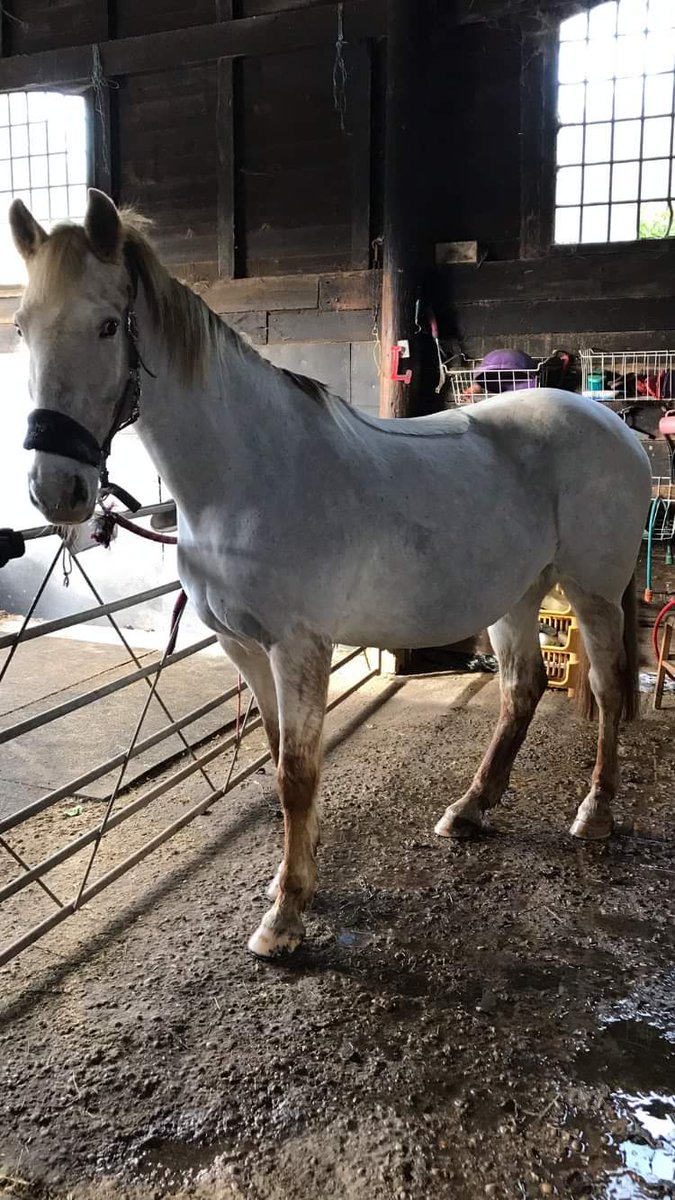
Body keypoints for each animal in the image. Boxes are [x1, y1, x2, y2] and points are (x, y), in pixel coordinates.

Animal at [9, 189, 652, 959]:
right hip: (517, 593)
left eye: (108, 325)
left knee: (608, 691)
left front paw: (285, 918)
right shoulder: (242, 646)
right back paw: (470, 809)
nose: (58, 491)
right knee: (522, 688)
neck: (247, 476)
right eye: (22, 328)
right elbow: (277, 753)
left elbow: (296, 771)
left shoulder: (298, 648)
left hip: (591, 593)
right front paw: (295, 878)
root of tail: (619, 429)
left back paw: (593, 814)